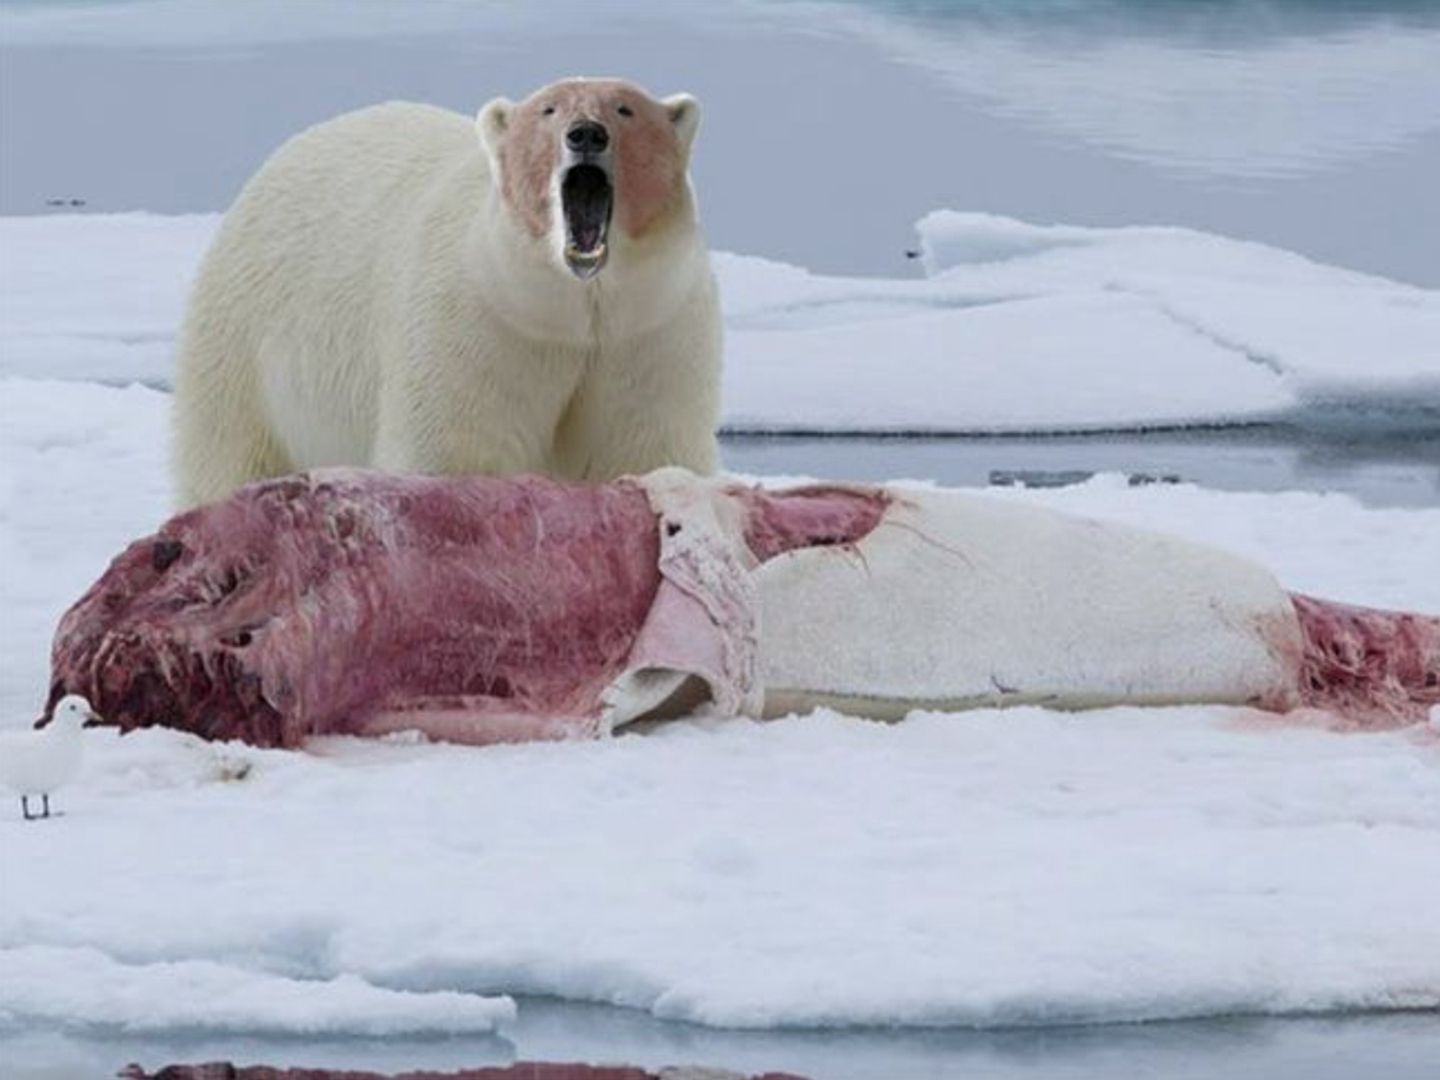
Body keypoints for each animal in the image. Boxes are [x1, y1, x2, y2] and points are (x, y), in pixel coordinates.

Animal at [171, 78, 720, 509]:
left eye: (626, 109)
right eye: (548, 110)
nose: (586, 133)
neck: (575, 308)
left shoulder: (651, 332)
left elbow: (643, 446)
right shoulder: (476, 322)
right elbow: (453, 448)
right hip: (245, 350)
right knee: (230, 455)